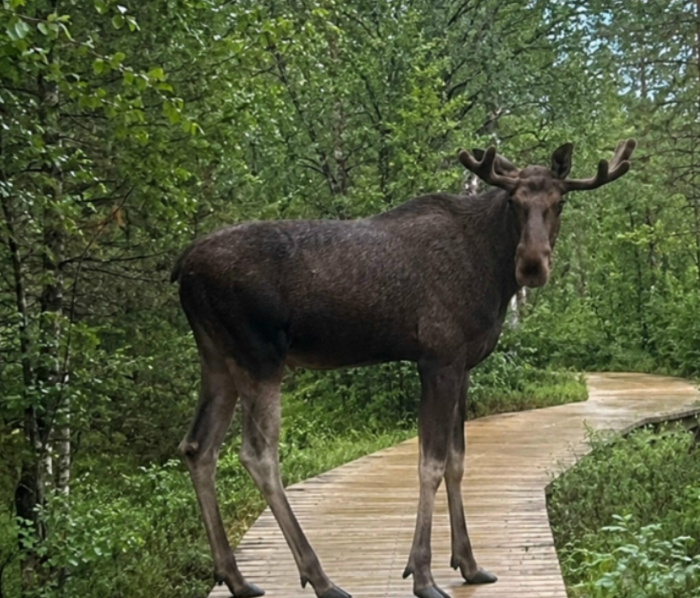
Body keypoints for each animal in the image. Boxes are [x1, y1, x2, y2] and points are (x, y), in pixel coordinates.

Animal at [171, 139, 636, 598]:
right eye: (513, 201)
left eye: (560, 201)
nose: (533, 264)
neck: (493, 274)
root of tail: (182, 267)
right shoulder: (438, 358)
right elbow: (430, 464)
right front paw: (423, 575)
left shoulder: (463, 364)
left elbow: (457, 460)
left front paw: (469, 564)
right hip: (260, 354)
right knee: (257, 453)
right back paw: (320, 578)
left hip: (217, 357)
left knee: (198, 447)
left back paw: (236, 577)